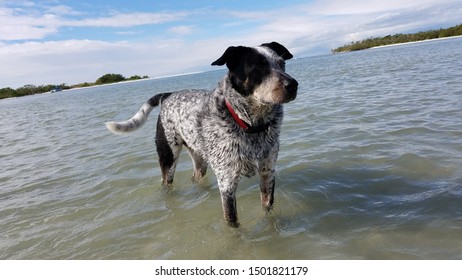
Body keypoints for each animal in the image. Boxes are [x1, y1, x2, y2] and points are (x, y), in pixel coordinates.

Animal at [106, 41, 298, 228]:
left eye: (282, 64)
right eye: (258, 67)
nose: (293, 84)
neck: (250, 125)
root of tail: (167, 95)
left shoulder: (268, 173)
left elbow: (267, 210)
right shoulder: (227, 182)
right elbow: (233, 223)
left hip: (199, 160)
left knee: (195, 177)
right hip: (168, 157)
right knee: (166, 182)